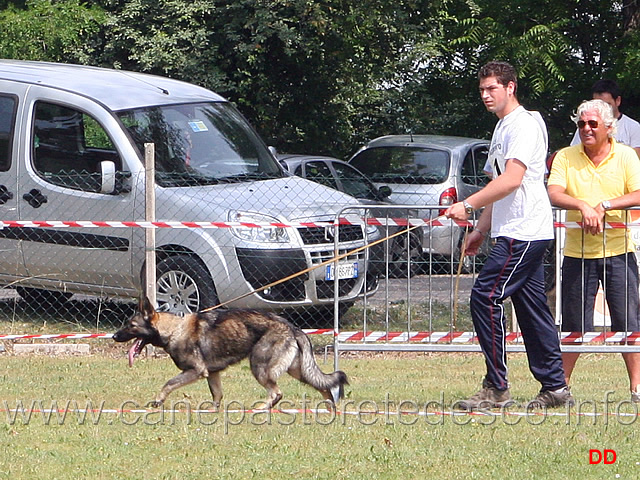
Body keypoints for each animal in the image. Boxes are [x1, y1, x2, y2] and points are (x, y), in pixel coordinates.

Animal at [112, 298, 348, 410]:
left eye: (131, 325)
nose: (114, 336)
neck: (174, 329)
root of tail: (292, 327)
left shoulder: (196, 371)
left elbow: (168, 383)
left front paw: (158, 401)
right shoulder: (213, 374)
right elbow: (217, 396)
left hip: (259, 367)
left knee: (276, 393)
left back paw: (261, 409)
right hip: (297, 370)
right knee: (323, 386)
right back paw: (331, 409)